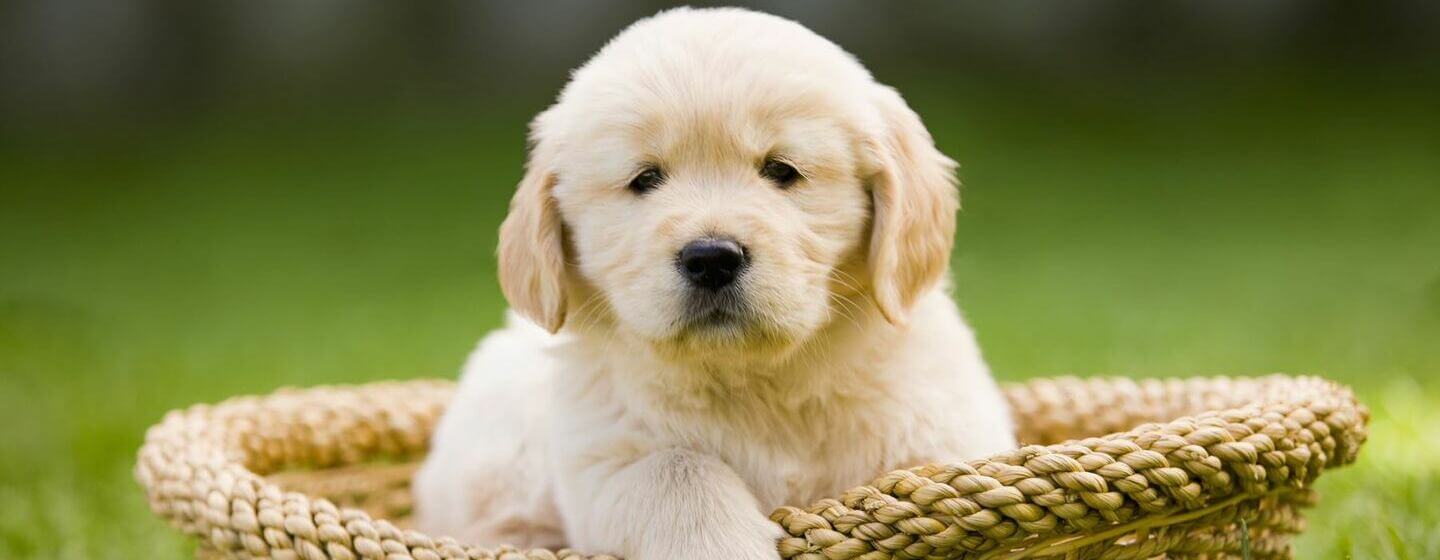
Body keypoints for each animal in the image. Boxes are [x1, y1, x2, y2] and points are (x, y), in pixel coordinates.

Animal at [411, 5, 1019, 558]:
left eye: (782, 171)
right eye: (645, 179)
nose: (711, 259)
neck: (758, 383)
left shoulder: (946, 432)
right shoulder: (599, 462)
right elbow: (673, 469)